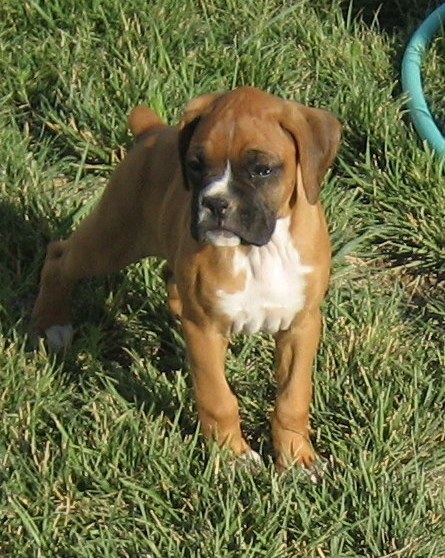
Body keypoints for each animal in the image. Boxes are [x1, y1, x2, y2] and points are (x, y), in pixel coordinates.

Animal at [32, 87, 340, 476]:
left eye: (262, 170)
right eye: (196, 165)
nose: (216, 203)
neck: (258, 251)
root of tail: (153, 132)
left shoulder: (301, 325)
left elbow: (293, 397)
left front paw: (297, 459)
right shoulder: (206, 328)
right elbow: (218, 399)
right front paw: (232, 457)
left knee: (170, 280)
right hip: (112, 239)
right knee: (59, 257)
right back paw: (51, 324)